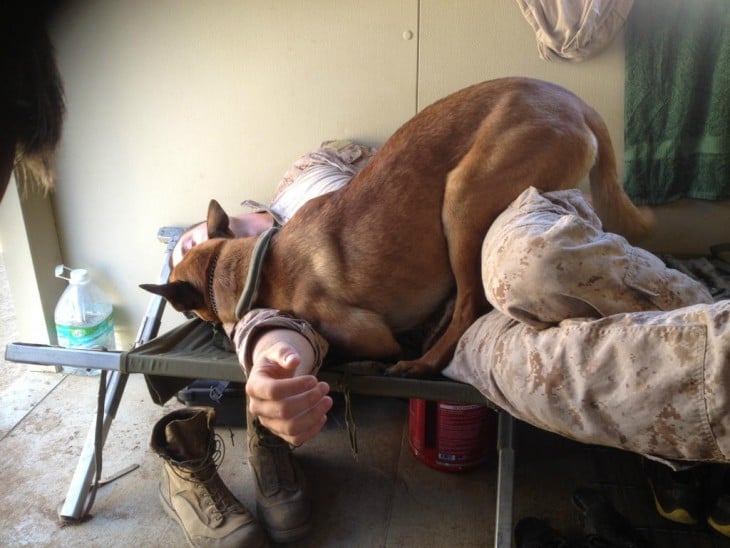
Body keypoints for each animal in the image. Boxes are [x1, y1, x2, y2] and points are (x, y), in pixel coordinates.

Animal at [141, 76, 648, 376]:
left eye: (190, 312)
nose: (214, 336)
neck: (257, 263)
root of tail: (576, 102)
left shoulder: (368, 334)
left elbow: (349, 348)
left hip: (461, 197)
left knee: (470, 306)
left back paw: (423, 363)